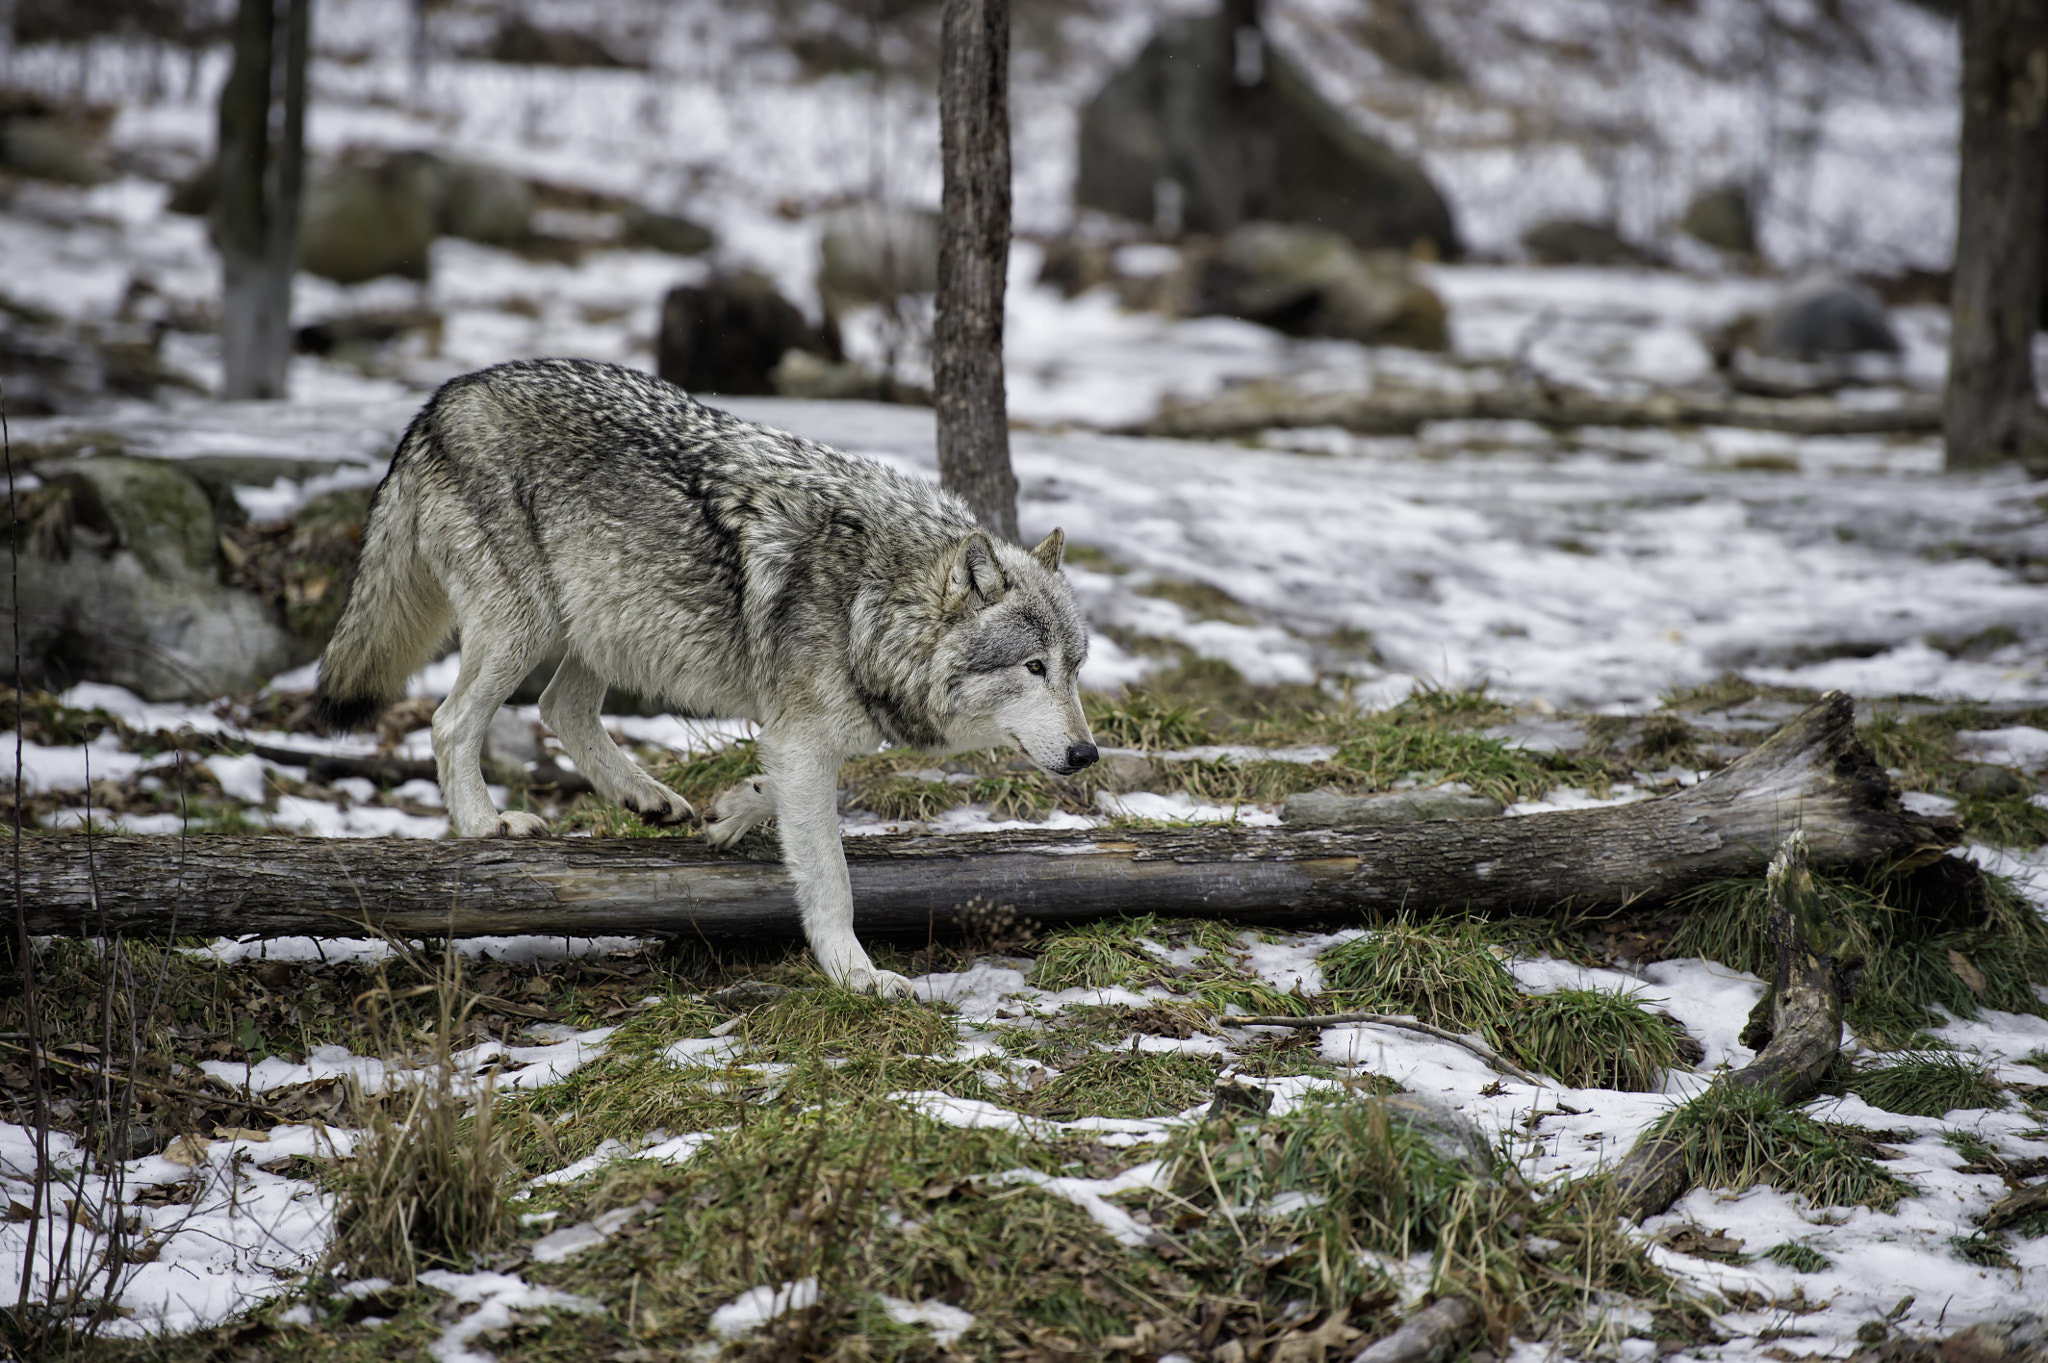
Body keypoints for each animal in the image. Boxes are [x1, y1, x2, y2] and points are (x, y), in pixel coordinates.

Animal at [311, 352, 1097, 986]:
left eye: (1074, 669)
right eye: (1033, 667)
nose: (1089, 753)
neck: (871, 598)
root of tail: (444, 397)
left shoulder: (797, 738)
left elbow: (775, 793)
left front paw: (731, 812)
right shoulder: (804, 738)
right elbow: (832, 877)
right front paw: (858, 976)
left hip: (604, 624)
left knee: (559, 709)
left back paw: (649, 798)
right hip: (524, 630)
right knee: (450, 721)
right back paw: (486, 823)